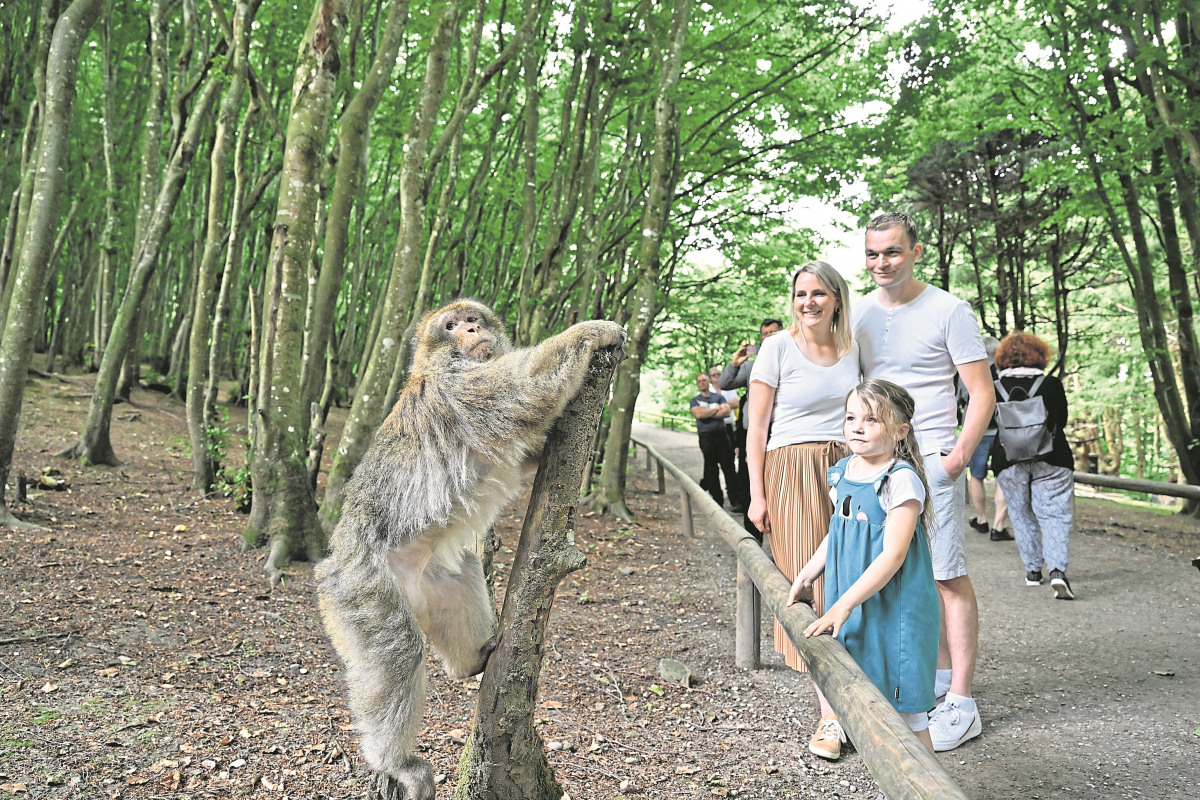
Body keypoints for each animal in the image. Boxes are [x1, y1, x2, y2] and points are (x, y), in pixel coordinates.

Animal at [314, 299, 624, 796]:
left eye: (471, 318)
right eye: (451, 325)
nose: (472, 329)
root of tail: (332, 565)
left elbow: (527, 447)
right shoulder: (455, 384)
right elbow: (524, 392)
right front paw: (593, 331)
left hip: (435, 582)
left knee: (462, 574)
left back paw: (470, 662)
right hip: (361, 590)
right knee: (398, 649)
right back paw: (393, 761)